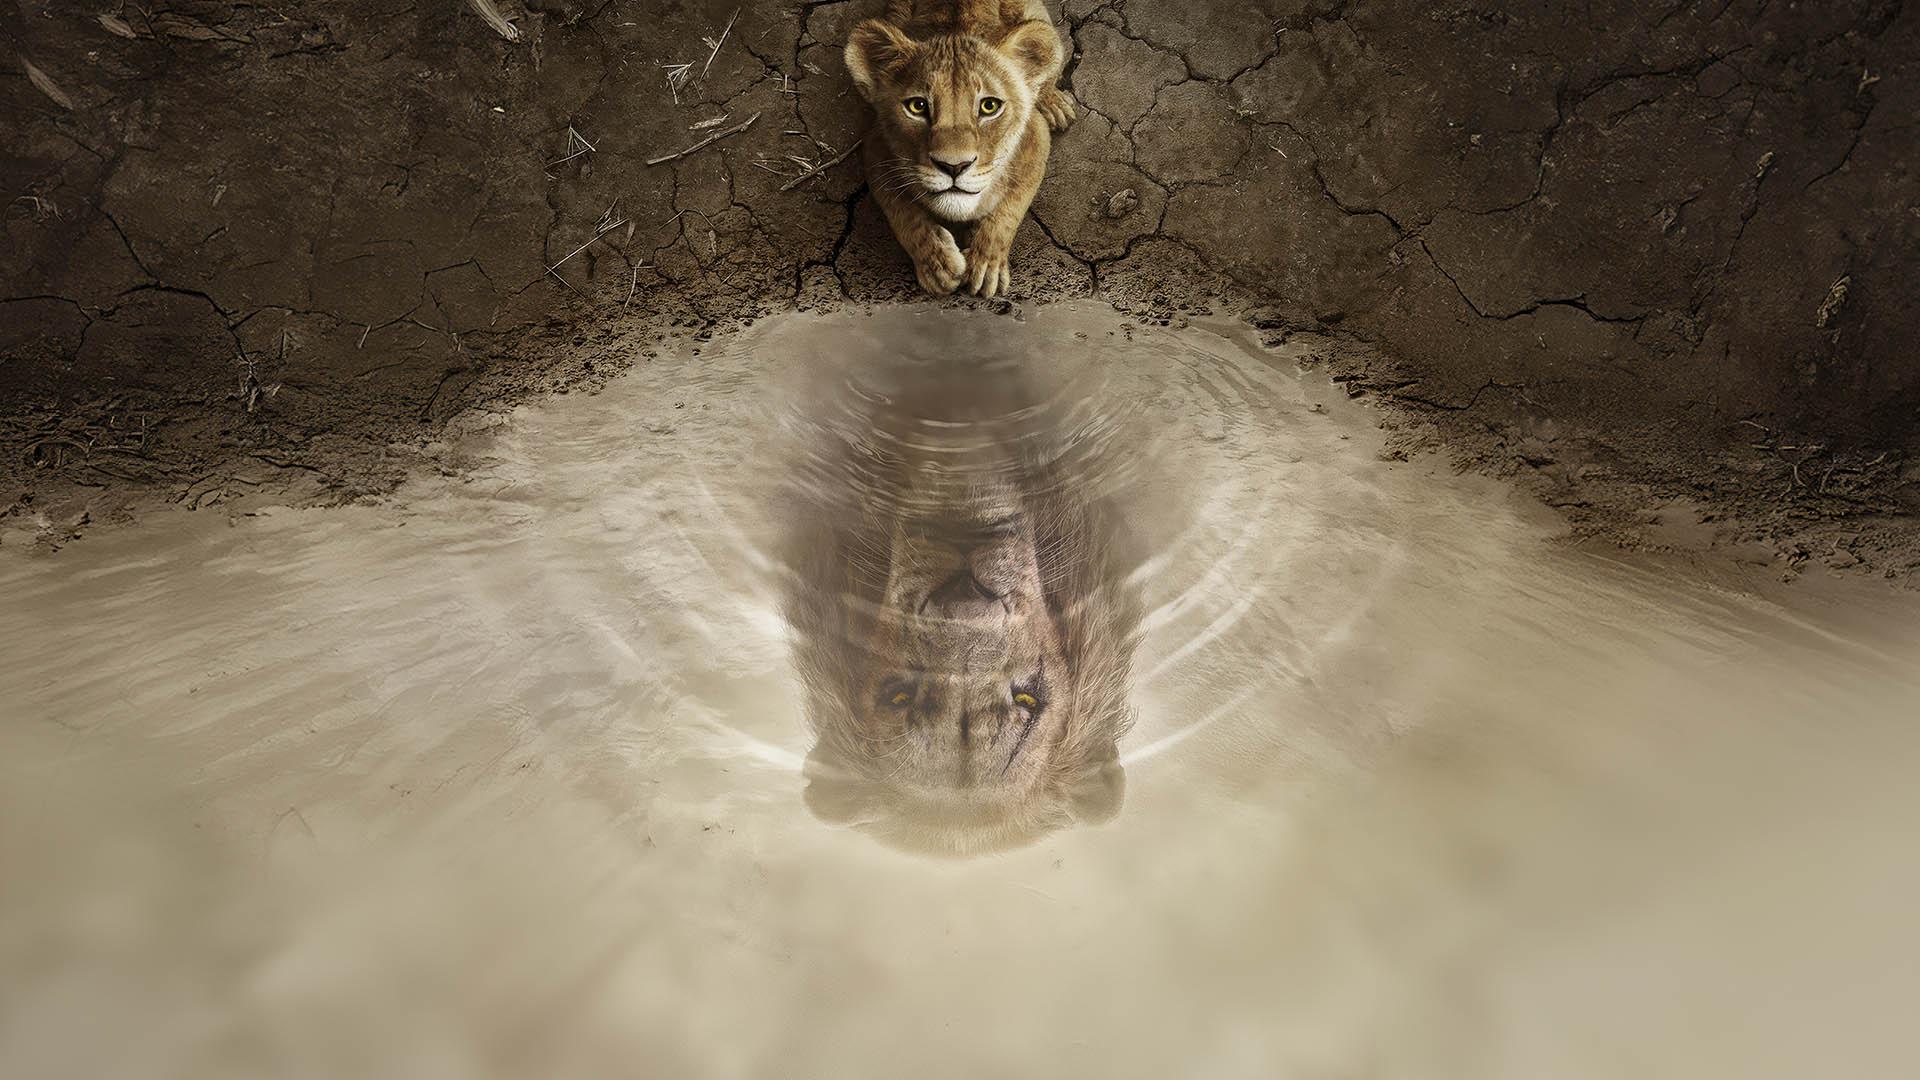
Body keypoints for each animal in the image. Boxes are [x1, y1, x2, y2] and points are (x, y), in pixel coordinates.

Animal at [843, 0, 1076, 298]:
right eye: (917, 106)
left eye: (989, 106)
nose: (954, 167)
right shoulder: (874, 146)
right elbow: (902, 213)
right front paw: (937, 266)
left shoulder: (1035, 136)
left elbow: (1009, 209)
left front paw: (986, 264)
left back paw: (1054, 104)